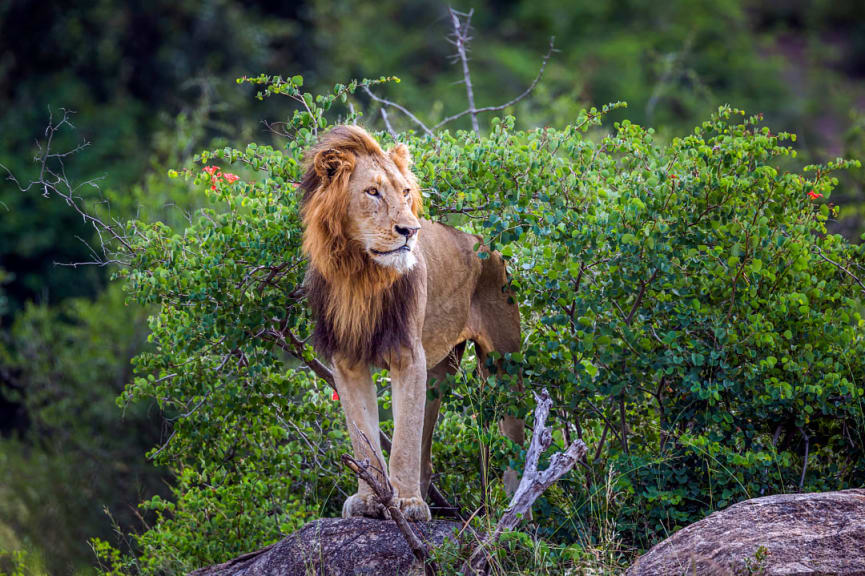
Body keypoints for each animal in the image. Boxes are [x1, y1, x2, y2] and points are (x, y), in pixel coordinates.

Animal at [300, 126, 524, 520]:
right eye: (372, 192)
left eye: (405, 192)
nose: (410, 230)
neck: (360, 274)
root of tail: (486, 244)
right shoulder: (347, 361)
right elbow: (362, 436)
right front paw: (370, 500)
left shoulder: (408, 356)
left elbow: (403, 438)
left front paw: (406, 503)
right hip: (438, 373)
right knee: (426, 450)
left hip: (503, 363)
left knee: (516, 440)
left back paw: (514, 509)